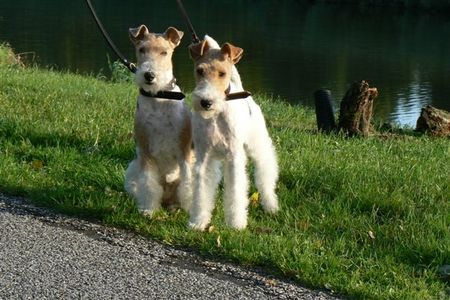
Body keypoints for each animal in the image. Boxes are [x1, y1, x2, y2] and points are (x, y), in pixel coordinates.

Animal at [124, 24, 192, 214]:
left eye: (164, 52)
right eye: (141, 49)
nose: (149, 75)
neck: (158, 96)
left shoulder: (184, 149)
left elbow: (189, 183)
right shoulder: (145, 149)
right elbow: (148, 183)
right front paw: (148, 210)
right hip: (133, 168)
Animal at [186, 36, 278, 231]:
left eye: (222, 73)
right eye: (200, 71)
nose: (206, 102)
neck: (217, 114)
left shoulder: (234, 157)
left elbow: (236, 192)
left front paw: (236, 224)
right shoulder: (203, 158)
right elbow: (201, 192)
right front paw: (198, 222)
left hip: (258, 146)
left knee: (266, 172)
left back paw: (271, 205)